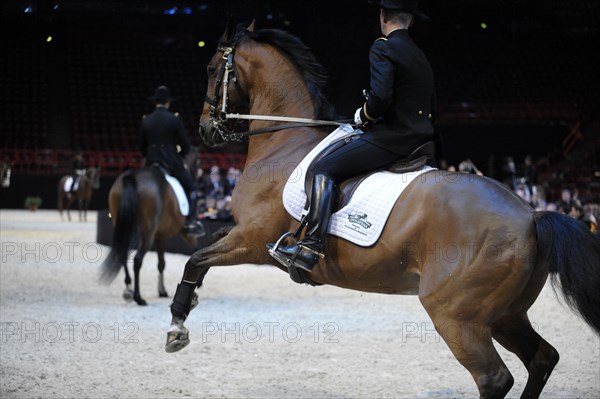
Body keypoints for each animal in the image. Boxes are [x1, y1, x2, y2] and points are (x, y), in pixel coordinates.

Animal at [99, 148, 200, 308]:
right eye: (198, 162)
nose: (197, 176)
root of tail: (132, 176)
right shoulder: (185, 233)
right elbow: (195, 250)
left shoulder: (159, 236)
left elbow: (161, 263)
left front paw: (162, 291)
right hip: (148, 233)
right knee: (137, 260)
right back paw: (138, 298)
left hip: (125, 226)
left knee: (123, 253)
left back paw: (128, 290)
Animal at [165, 21, 600, 399]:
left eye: (210, 68)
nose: (205, 130)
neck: (284, 142)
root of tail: (531, 216)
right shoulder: (238, 231)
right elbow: (200, 250)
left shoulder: (253, 242)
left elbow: (196, 260)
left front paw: (176, 325)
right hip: (505, 314)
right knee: (542, 358)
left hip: (458, 316)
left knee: (494, 378)